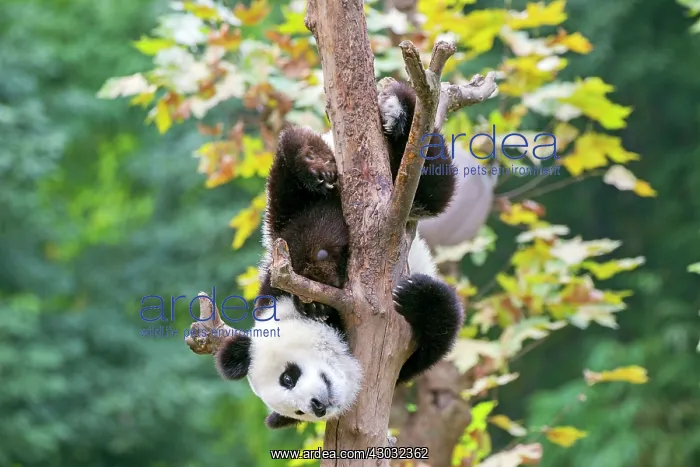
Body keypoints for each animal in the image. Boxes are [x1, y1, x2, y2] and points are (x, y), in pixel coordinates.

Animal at [214, 81, 464, 429]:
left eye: (288, 377)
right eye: (297, 412)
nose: (318, 405)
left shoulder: (274, 281)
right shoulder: (403, 366)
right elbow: (438, 335)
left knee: (430, 181)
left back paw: (392, 113)